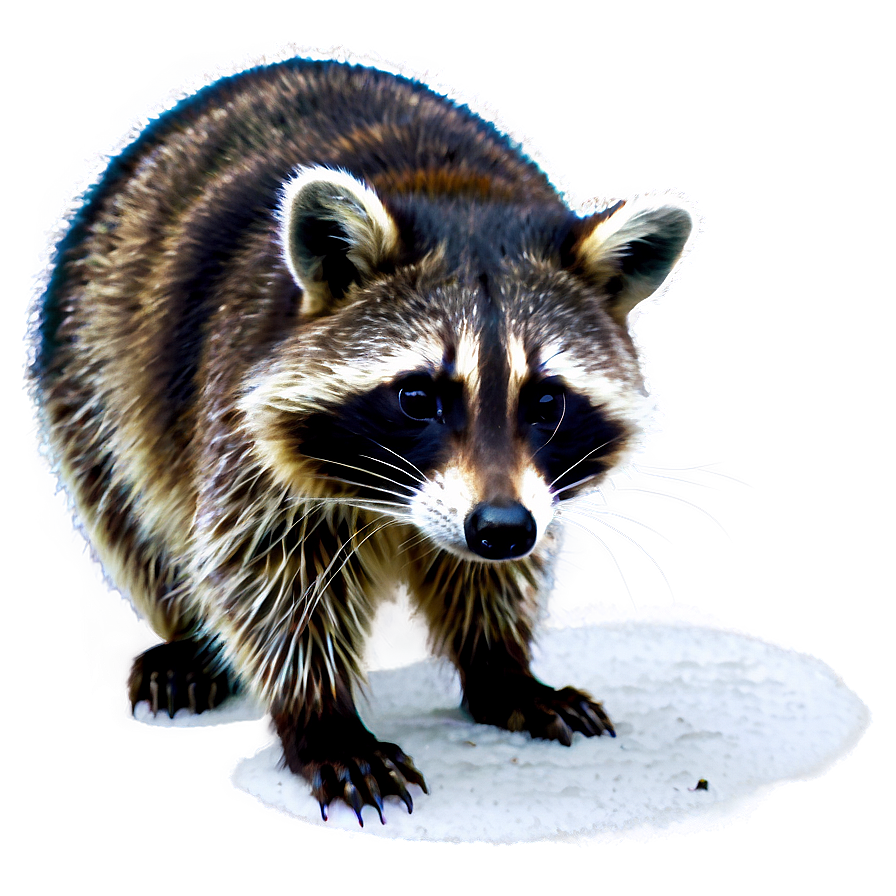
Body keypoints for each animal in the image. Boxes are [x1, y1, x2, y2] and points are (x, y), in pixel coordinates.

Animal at [28, 56, 697, 825]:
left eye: (546, 401)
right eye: (418, 399)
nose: (499, 528)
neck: (461, 197)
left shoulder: (531, 492)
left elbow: (496, 577)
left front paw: (500, 664)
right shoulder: (241, 418)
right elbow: (266, 577)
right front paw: (323, 718)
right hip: (92, 348)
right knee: (125, 495)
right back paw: (187, 633)